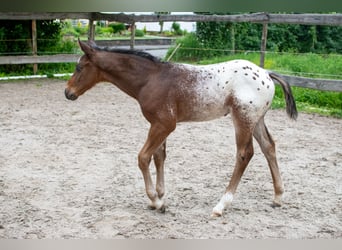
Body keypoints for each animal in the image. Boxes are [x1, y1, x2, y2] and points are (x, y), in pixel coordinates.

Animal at [65, 40, 296, 216]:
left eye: (79, 67)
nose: (67, 92)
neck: (150, 79)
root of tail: (266, 73)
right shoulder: (158, 125)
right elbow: (159, 157)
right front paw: (160, 196)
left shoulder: (165, 124)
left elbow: (143, 157)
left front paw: (156, 201)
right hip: (257, 119)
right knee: (269, 147)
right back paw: (278, 196)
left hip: (243, 118)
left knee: (244, 154)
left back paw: (221, 205)